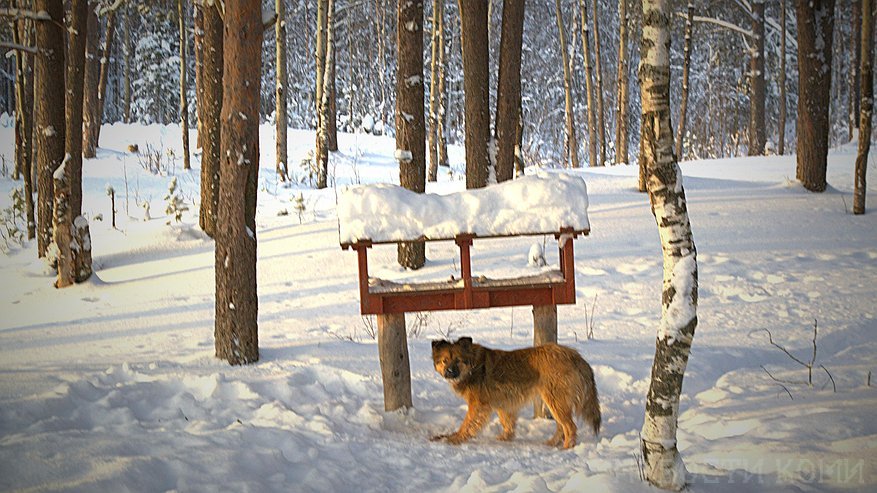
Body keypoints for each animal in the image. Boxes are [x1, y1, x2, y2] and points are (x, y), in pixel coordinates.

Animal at [430, 336, 600, 448]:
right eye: (444, 361)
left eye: (458, 360)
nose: (449, 372)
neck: (472, 367)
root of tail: (575, 356)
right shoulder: (501, 402)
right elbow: (507, 421)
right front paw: (507, 437)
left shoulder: (478, 405)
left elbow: (467, 423)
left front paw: (456, 438)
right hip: (555, 401)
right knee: (562, 425)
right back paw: (553, 442)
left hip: (555, 399)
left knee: (570, 426)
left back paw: (567, 447)